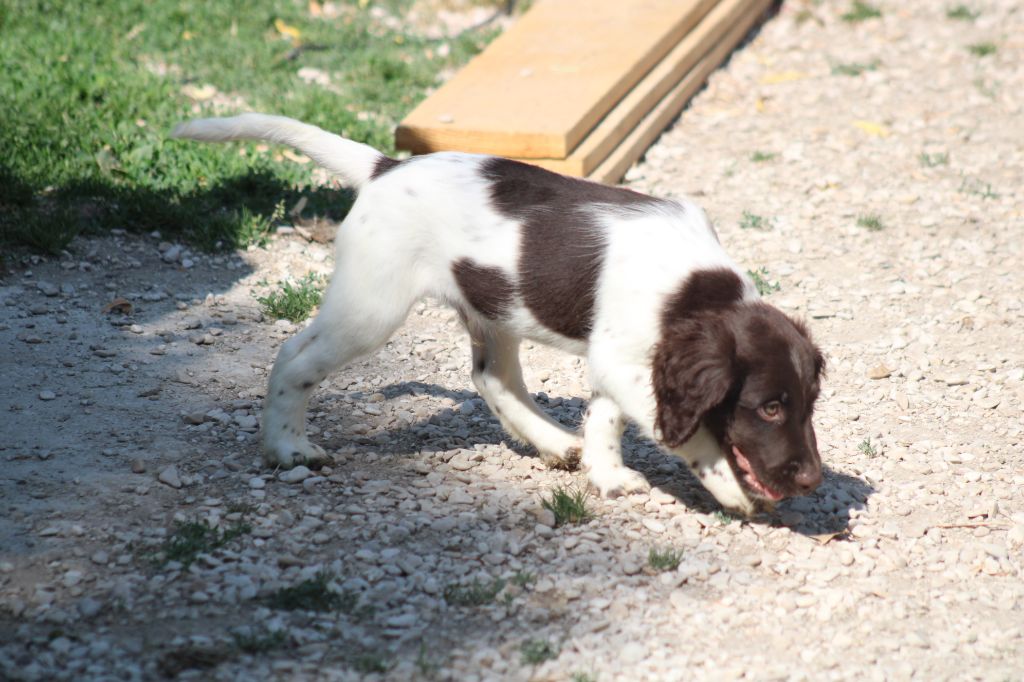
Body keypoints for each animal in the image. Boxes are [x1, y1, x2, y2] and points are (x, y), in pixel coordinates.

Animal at [172, 113, 824, 516]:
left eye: (807, 405)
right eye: (768, 407)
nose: (812, 480)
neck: (694, 290)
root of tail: (387, 168)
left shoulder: (628, 357)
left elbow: (607, 418)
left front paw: (605, 472)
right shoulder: (625, 357)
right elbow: (689, 433)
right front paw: (729, 487)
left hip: (493, 305)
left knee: (492, 377)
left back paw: (555, 443)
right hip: (371, 304)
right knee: (295, 357)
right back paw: (287, 448)